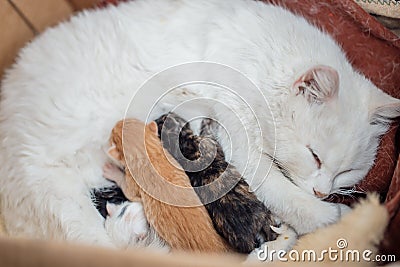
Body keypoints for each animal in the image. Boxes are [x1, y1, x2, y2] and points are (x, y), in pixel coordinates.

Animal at [103, 119, 230, 253]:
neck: (148, 153)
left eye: (112, 133)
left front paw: (112, 171)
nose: (117, 122)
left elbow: (126, 189)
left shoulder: (132, 183)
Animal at [155, 113, 282, 255]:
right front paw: (208, 121)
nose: (157, 118)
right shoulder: (210, 141)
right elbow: (208, 131)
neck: (184, 145)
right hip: (266, 217)